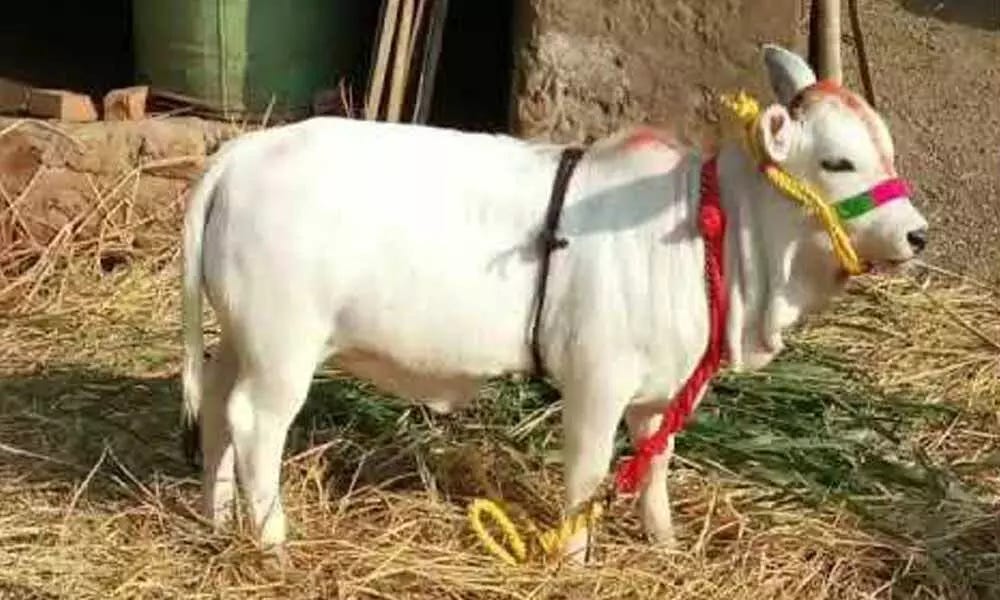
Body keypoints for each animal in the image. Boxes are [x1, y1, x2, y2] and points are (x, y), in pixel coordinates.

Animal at [179, 44, 928, 562]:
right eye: (838, 162)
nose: (917, 233)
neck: (710, 233)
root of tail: (244, 151)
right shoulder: (598, 378)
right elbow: (588, 472)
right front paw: (574, 558)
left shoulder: (662, 389)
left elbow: (655, 465)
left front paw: (665, 545)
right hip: (284, 346)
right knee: (255, 424)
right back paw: (273, 541)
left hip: (242, 336)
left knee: (214, 401)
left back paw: (216, 515)